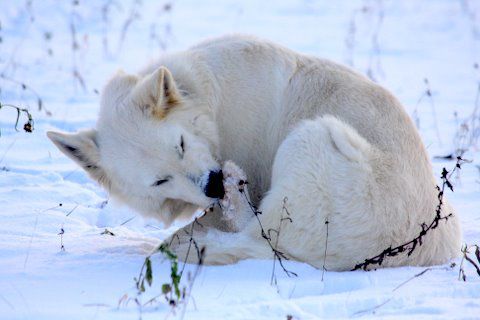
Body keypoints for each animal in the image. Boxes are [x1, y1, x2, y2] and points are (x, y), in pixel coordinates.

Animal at [47, 34, 462, 270]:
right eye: (160, 180)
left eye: (180, 144)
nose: (213, 185)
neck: (210, 101)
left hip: (313, 136)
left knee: (258, 235)